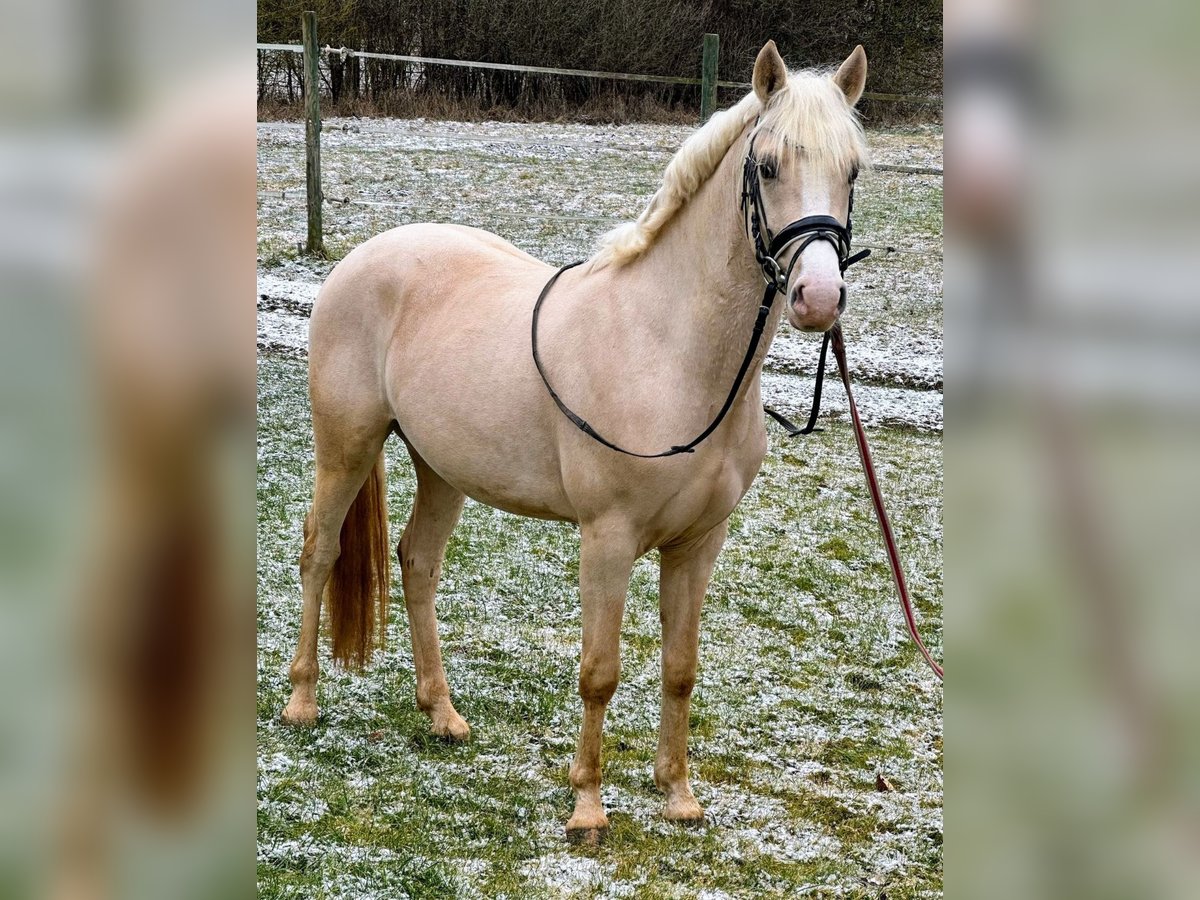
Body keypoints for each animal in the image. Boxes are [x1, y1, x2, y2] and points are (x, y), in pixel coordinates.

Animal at [284, 40, 868, 844]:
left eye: (854, 170)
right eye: (771, 165)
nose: (819, 298)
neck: (669, 352)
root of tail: (357, 259)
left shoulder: (699, 544)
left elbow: (681, 668)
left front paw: (678, 795)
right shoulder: (608, 538)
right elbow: (600, 671)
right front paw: (587, 807)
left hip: (441, 468)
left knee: (418, 563)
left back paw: (442, 714)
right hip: (347, 446)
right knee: (320, 552)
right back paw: (301, 702)